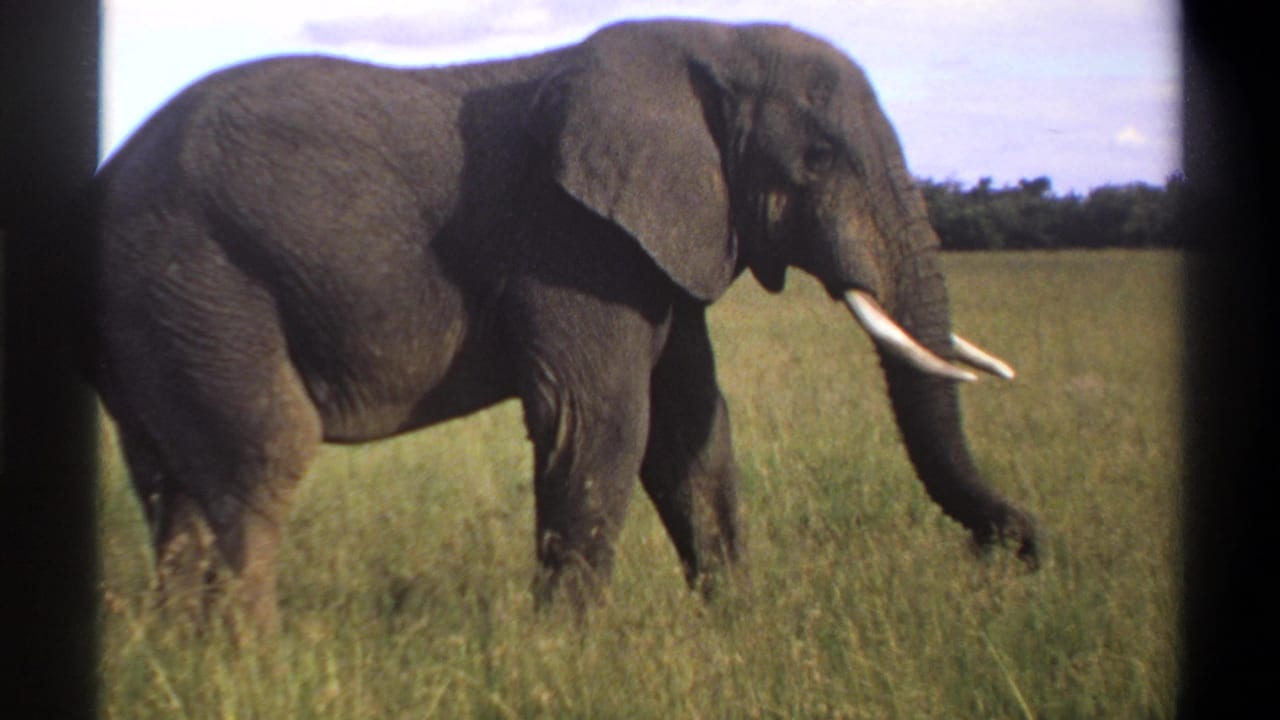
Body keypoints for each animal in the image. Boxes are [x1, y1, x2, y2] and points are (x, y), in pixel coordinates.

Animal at [85, 19, 1037, 632]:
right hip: (197, 275)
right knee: (260, 458)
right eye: (818, 158)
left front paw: (738, 628)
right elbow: (603, 420)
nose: (1020, 556)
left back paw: (182, 659)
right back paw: (254, 663)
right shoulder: (571, 241)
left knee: (173, 485)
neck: (710, 41)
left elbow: (693, 432)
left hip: (154, 311)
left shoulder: (652, 247)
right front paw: (569, 656)